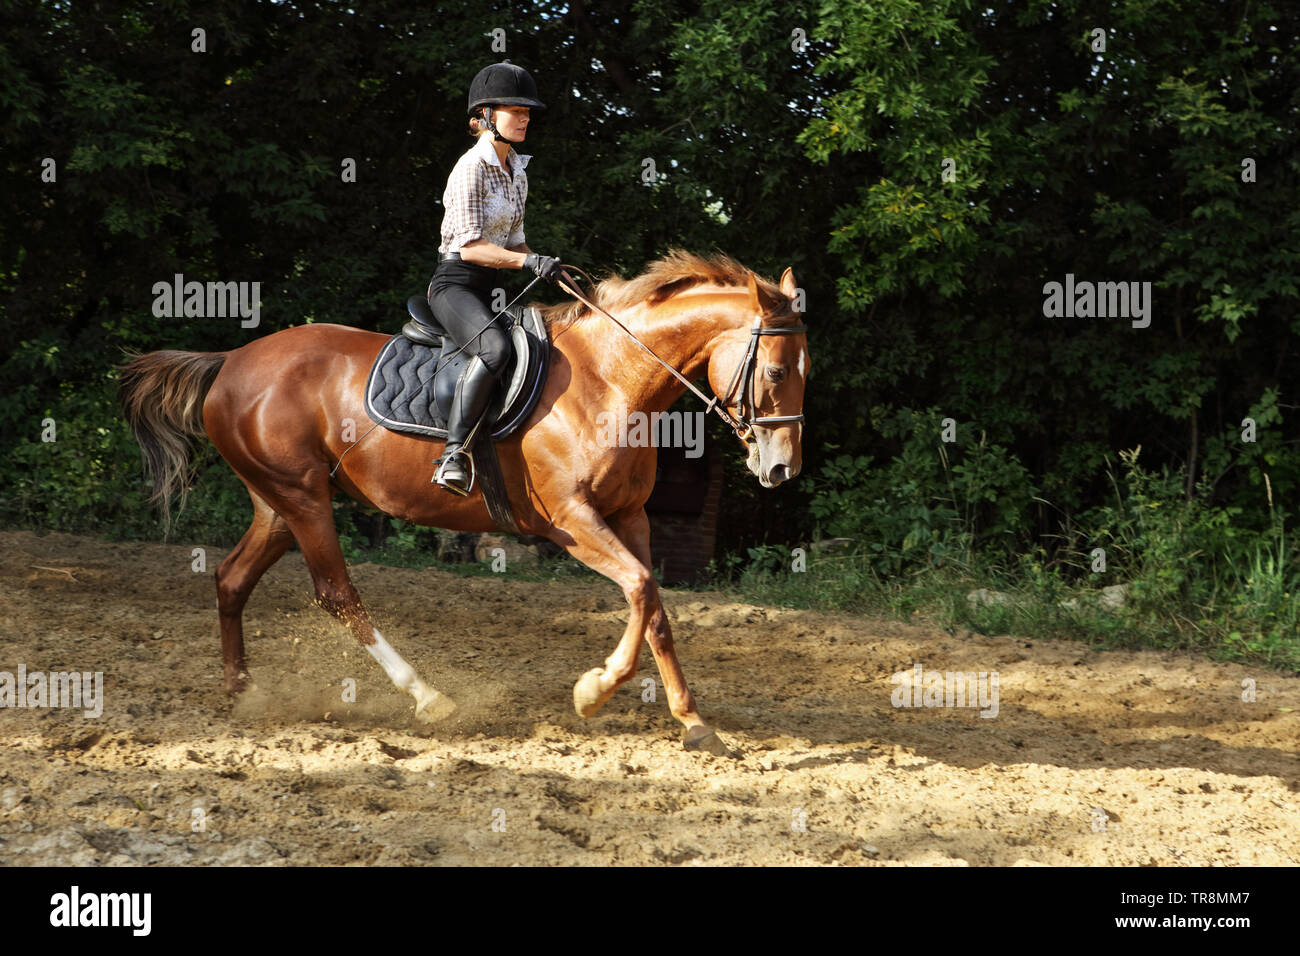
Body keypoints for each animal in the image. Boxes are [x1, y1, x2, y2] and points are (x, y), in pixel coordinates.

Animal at [124, 251, 811, 749]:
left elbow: (657, 611)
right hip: (303, 499)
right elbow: (642, 589)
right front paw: (593, 692)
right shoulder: (573, 521)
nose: (781, 468)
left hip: (278, 504)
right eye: (777, 372)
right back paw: (428, 697)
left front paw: (694, 723)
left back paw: (242, 692)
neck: (613, 380)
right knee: (337, 593)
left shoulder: (630, 517)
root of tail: (231, 360)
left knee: (232, 579)